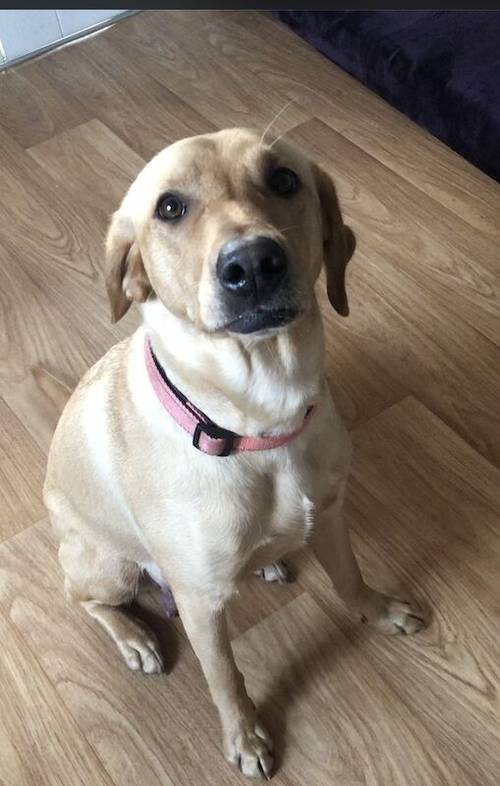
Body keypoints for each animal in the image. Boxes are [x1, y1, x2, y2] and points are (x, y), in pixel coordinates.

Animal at [44, 129, 426, 776]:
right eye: (170, 207)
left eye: (284, 179)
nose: (251, 264)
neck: (260, 422)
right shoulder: (201, 604)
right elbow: (224, 677)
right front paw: (244, 737)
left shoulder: (330, 512)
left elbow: (349, 579)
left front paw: (377, 610)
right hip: (109, 565)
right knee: (83, 598)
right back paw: (135, 638)